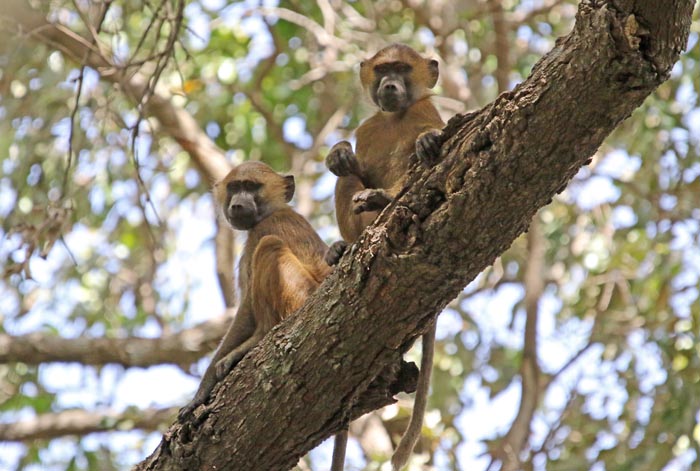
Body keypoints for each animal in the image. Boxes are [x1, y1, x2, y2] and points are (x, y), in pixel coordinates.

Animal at [178, 161, 333, 420]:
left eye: (251, 187)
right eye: (234, 187)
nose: (237, 205)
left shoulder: (263, 229)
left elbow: (247, 309)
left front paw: (201, 392)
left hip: (301, 295)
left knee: (269, 246)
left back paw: (260, 337)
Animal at [324, 44, 445, 471]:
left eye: (402, 69)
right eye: (382, 70)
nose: (390, 86)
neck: (395, 117)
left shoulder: (428, 113)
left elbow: (428, 139)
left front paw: (427, 142)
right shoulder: (369, 128)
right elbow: (350, 164)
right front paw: (338, 153)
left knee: (417, 162)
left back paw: (384, 199)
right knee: (346, 178)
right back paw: (342, 248)